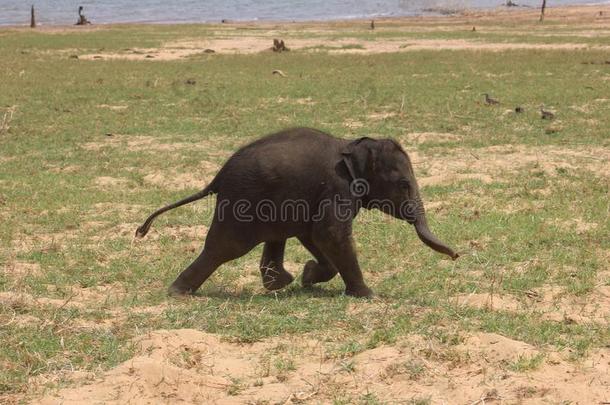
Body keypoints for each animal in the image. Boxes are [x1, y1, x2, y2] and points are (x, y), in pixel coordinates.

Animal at [134, 127, 456, 296]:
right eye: (404, 184)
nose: (456, 255)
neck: (352, 145)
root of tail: (217, 177)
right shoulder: (337, 189)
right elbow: (329, 234)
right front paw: (368, 296)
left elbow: (314, 235)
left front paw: (308, 277)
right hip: (241, 203)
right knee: (226, 247)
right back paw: (179, 292)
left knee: (274, 237)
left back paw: (279, 283)